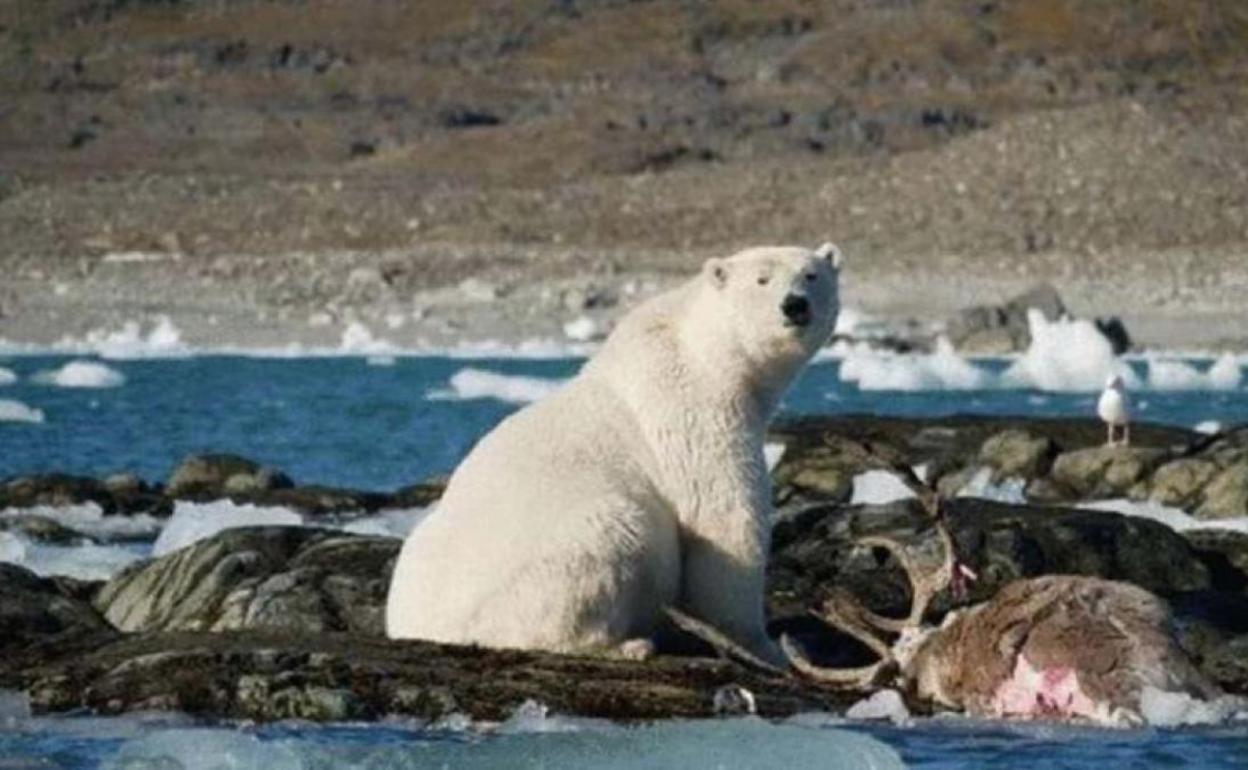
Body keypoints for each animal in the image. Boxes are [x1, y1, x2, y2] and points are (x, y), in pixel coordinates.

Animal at [384, 242, 843, 658]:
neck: (701, 351)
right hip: (562, 551)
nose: (795, 306)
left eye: (811, 275)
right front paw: (767, 645)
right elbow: (725, 520)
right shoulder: (693, 414)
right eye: (761, 279)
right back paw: (626, 644)